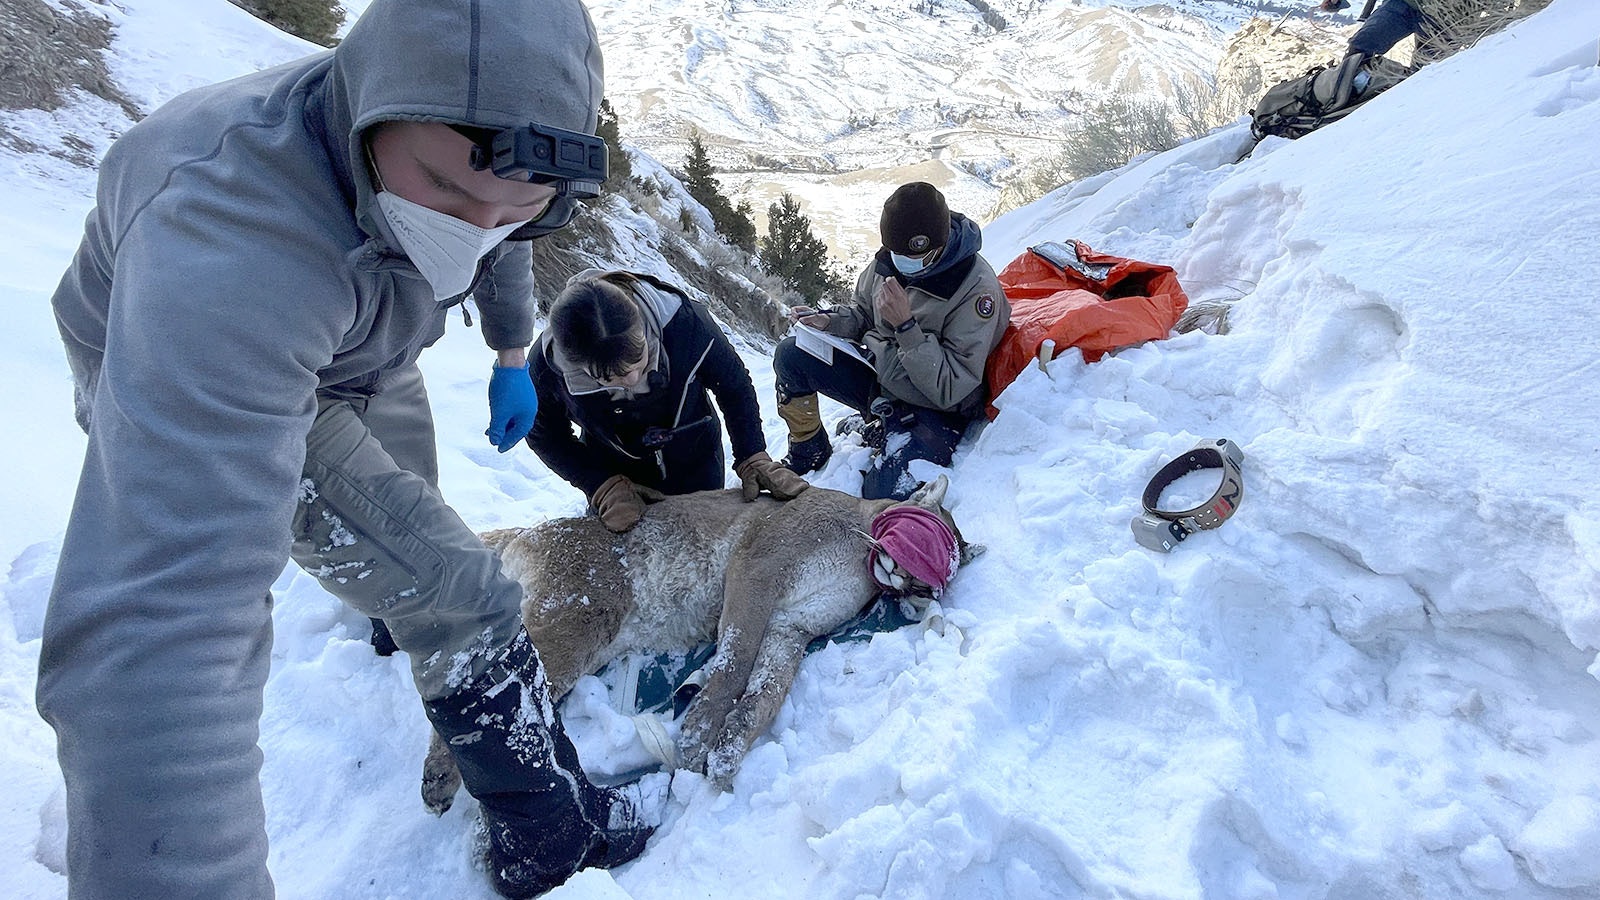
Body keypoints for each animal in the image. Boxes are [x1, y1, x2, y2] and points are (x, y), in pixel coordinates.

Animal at [422, 476, 970, 811]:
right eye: (925, 547)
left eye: (935, 580)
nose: (921, 592)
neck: (858, 551)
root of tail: (530, 530)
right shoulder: (756, 571)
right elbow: (734, 663)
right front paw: (696, 737)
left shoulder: (790, 627)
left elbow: (765, 694)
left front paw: (728, 752)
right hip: (581, 616)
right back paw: (440, 776)